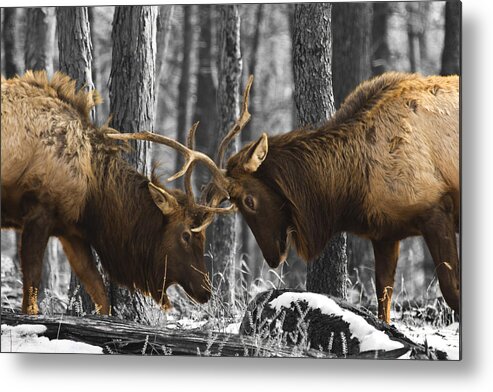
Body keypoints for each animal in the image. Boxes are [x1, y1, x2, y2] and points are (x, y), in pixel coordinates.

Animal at [0, 70, 229, 316]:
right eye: (186, 234)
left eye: (203, 235)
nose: (206, 291)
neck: (93, 195)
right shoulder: (40, 210)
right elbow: (31, 292)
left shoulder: (70, 229)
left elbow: (99, 291)